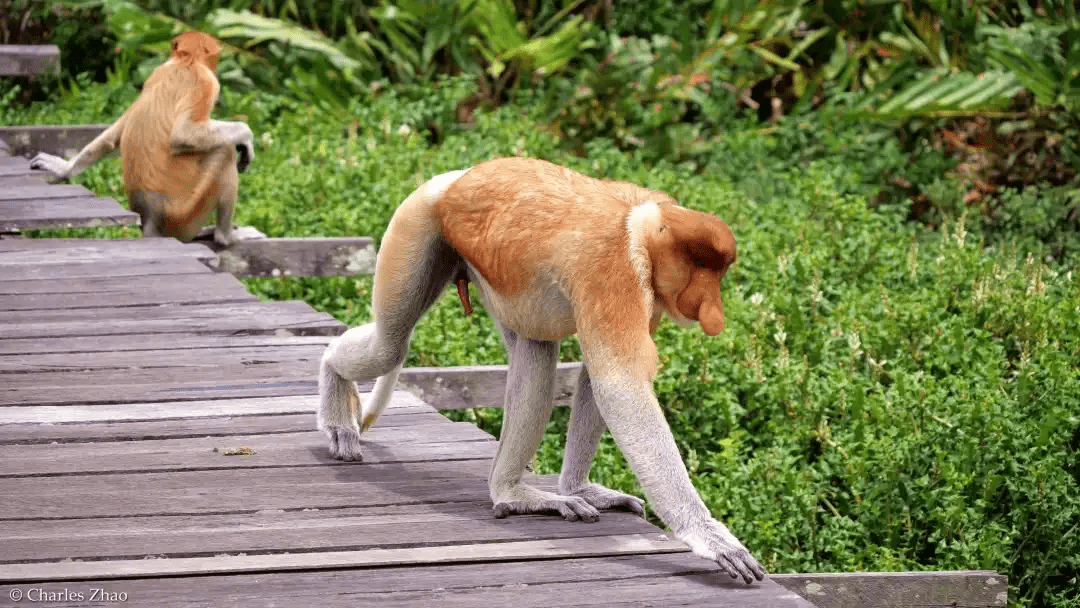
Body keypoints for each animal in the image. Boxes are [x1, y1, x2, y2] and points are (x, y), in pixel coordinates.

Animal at [30, 29, 253, 248]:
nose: (216, 66)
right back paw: (226, 236)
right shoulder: (205, 82)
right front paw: (246, 136)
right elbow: (183, 135)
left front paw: (62, 168)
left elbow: (117, 131)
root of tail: (150, 222)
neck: (185, 62)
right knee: (224, 152)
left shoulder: (155, 73)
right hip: (184, 215)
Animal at [319, 154, 768, 583]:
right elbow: (619, 386)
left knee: (532, 349)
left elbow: (595, 378)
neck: (644, 226)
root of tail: (453, 179)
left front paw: (578, 487)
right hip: (417, 227)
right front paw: (709, 535)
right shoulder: (614, 272)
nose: (714, 314)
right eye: (701, 268)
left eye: (718, 272)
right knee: (392, 343)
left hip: (495, 275)